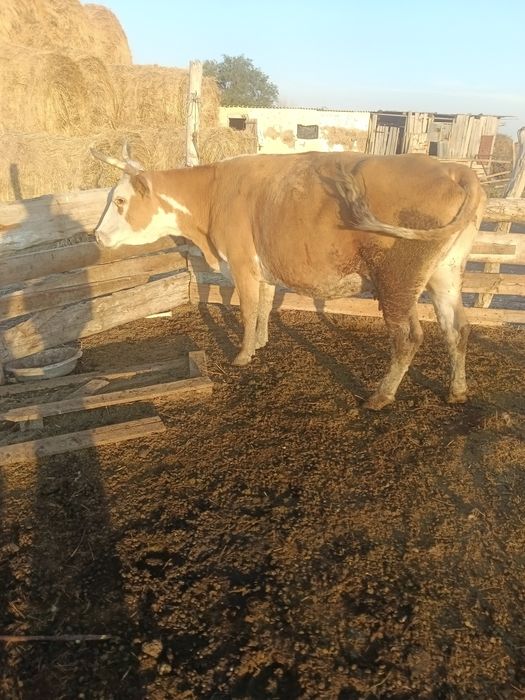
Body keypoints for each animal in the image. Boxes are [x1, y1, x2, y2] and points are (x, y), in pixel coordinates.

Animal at [91, 146, 486, 410]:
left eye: (121, 201)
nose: (97, 235)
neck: (214, 194)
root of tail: (454, 170)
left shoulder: (241, 264)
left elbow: (248, 310)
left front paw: (243, 355)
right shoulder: (263, 268)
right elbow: (265, 306)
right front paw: (261, 342)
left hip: (397, 280)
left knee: (408, 338)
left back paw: (381, 396)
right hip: (446, 273)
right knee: (458, 329)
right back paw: (457, 390)